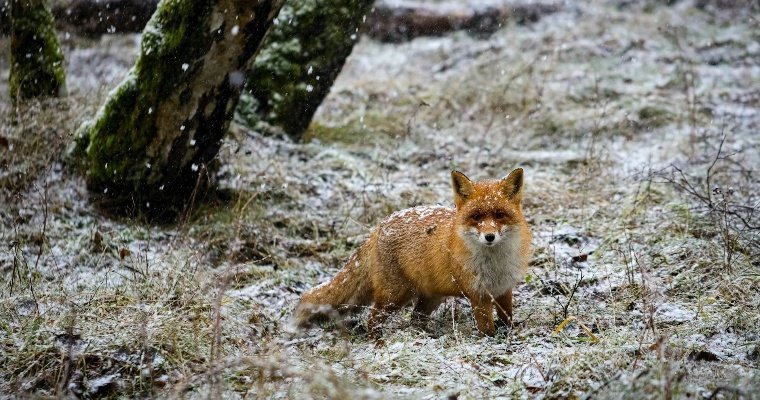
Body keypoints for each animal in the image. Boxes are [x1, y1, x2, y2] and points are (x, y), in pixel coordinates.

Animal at [294, 167, 532, 336]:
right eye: (476, 217)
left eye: (499, 215)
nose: (489, 237)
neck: (494, 264)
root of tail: (381, 224)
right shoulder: (478, 295)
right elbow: (487, 331)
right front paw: (492, 343)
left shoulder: (503, 290)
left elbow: (508, 320)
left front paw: (511, 337)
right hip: (394, 296)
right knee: (372, 319)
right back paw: (378, 344)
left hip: (430, 297)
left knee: (415, 319)